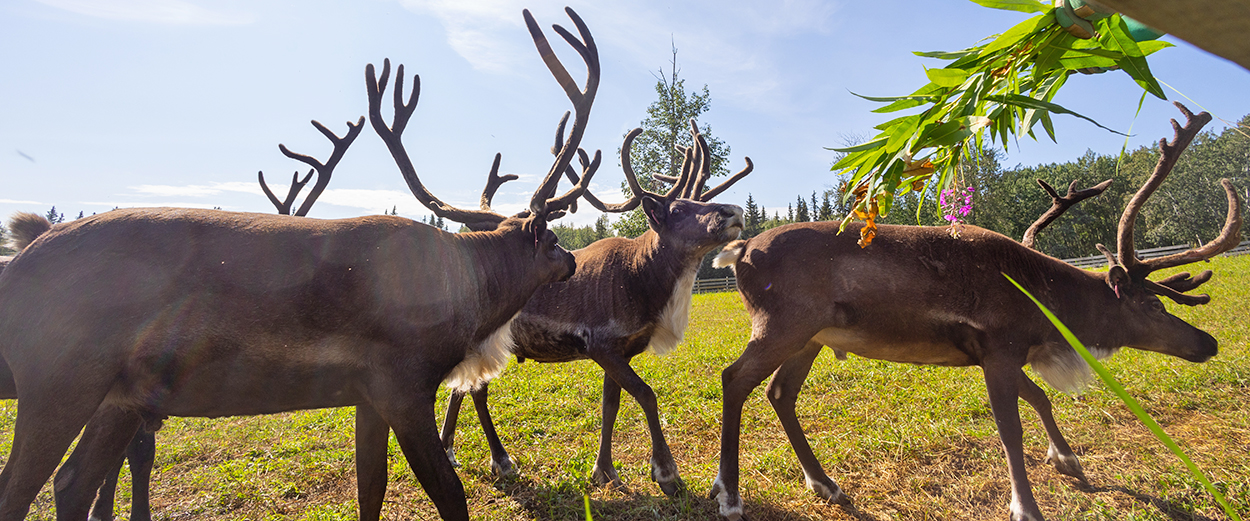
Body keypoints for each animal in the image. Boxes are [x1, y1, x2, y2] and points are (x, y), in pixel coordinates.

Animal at [0, 12, 601, 516]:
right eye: (551, 239)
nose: (572, 260)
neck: (468, 297)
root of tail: (16, 267)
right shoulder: (403, 383)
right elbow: (450, 497)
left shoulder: (367, 394)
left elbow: (370, 489)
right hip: (58, 380)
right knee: (21, 489)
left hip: (119, 396)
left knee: (71, 482)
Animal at [706, 102, 1242, 521]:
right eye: (1152, 303)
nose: (1208, 342)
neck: (1047, 313)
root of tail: (740, 251)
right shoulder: (999, 347)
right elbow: (1011, 429)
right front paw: (1026, 505)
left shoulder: (999, 352)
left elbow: (1039, 398)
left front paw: (1069, 461)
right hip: (782, 325)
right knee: (735, 378)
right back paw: (729, 495)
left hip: (812, 337)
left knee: (780, 393)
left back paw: (826, 484)